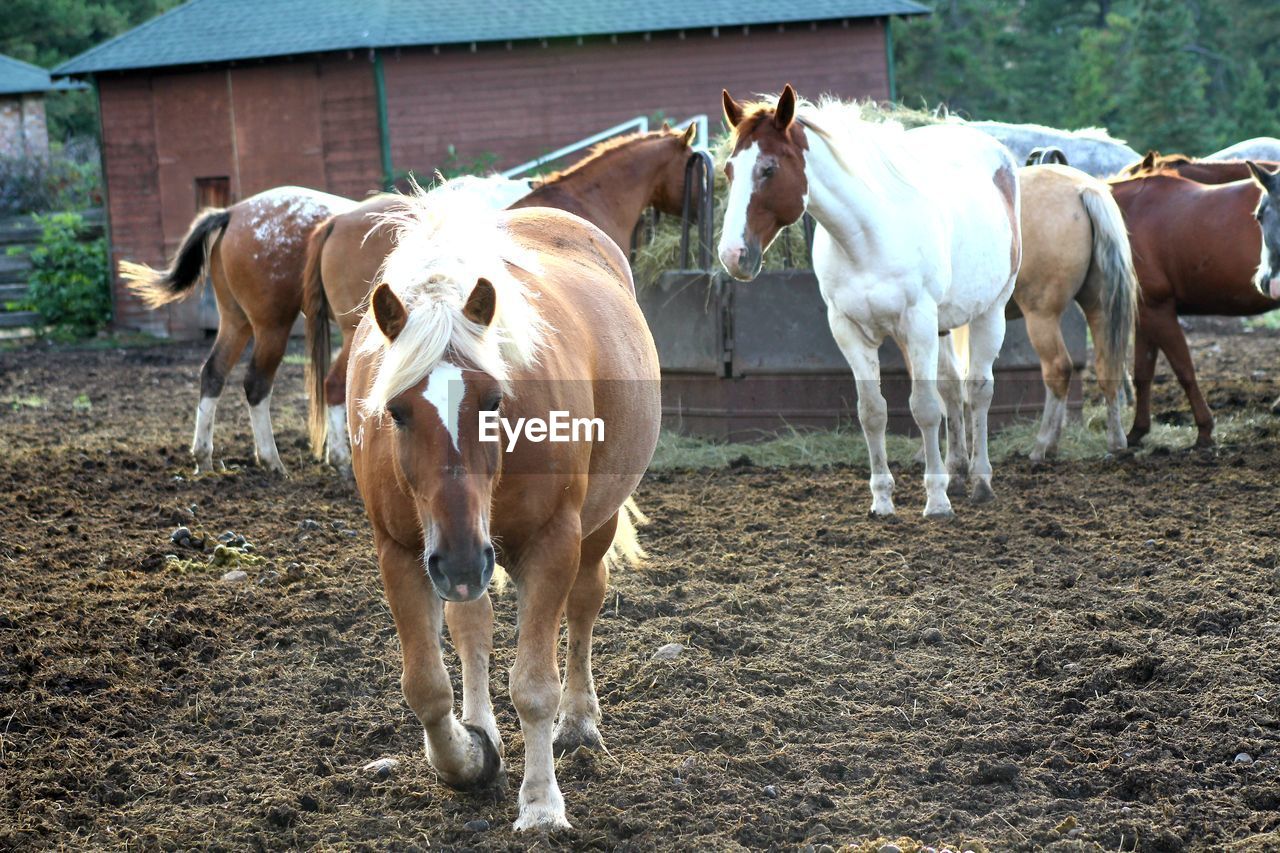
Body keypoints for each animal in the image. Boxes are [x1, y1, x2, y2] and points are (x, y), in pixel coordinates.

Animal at [119, 185, 353, 473]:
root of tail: (232, 213)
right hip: (272, 326)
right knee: (256, 383)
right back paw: (272, 460)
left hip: (236, 322)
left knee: (213, 373)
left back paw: (204, 458)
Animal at [345, 189, 660, 824]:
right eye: (396, 411)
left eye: (494, 400)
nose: (460, 561)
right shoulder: (402, 553)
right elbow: (426, 686)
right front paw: (468, 756)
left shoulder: (552, 544)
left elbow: (534, 687)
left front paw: (540, 804)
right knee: (473, 626)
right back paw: (481, 722)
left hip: (590, 530)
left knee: (585, 604)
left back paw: (579, 721)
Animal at [721, 86, 1018, 514]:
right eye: (729, 170)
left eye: (769, 169)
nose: (732, 255)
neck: (868, 236)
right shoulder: (849, 330)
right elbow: (872, 411)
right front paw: (882, 500)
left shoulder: (918, 324)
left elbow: (924, 408)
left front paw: (936, 500)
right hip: (943, 327)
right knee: (951, 388)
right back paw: (958, 472)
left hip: (990, 311)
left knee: (977, 390)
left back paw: (979, 480)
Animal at [1111, 163, 1280, 445]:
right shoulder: (1146, 313)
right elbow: (1143, 373)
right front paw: (1137, 431)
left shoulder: (1159, 311)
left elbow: (1184, 370)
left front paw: (1204, 430)